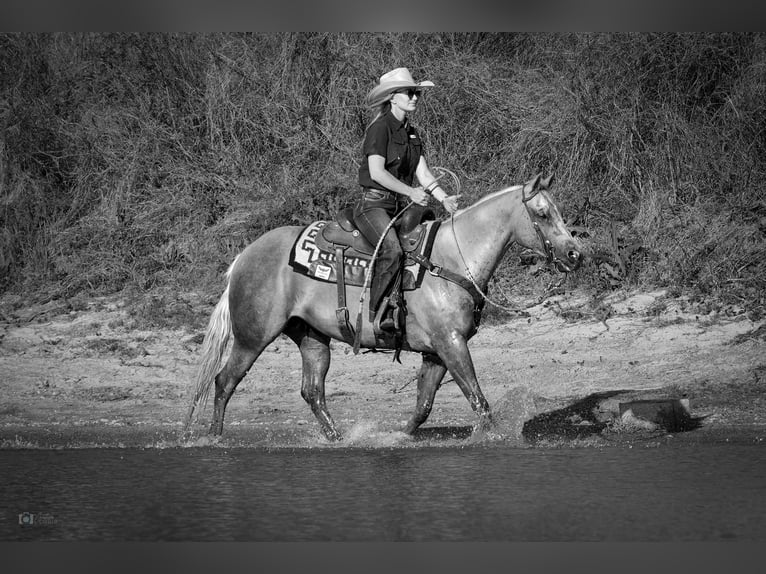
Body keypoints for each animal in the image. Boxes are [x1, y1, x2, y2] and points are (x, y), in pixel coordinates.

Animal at [184, 174, 584, 440]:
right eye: (543, 213)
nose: (575, 255)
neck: (451, 259)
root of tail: (243, 257)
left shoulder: (437, 351)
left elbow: (424, 406)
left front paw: (401, 436)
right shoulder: (451, 343)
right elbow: (478, 398)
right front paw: (494, 437)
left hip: (312, 337)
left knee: (312, 391)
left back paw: (337, 438)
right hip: (253, 337)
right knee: (224, 380)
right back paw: (214, 437)